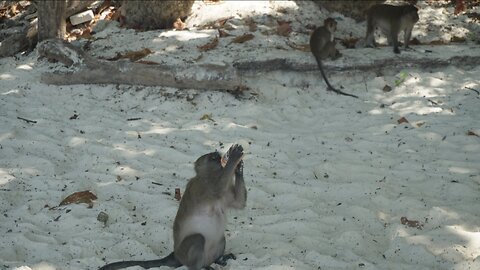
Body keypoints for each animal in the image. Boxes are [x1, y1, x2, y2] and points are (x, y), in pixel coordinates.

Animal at [98, 144, 248, 268]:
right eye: (213, 157)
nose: (219, 155)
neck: (209, 176)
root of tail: (176, 254)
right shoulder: (204, 186)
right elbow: (219, 188)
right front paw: (234, 158)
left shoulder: (223, 194)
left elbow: (239, 203)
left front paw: (239, 169)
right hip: (185, 254)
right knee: (197, 238)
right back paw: (203, 267)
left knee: (220, 237)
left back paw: (218, 260)